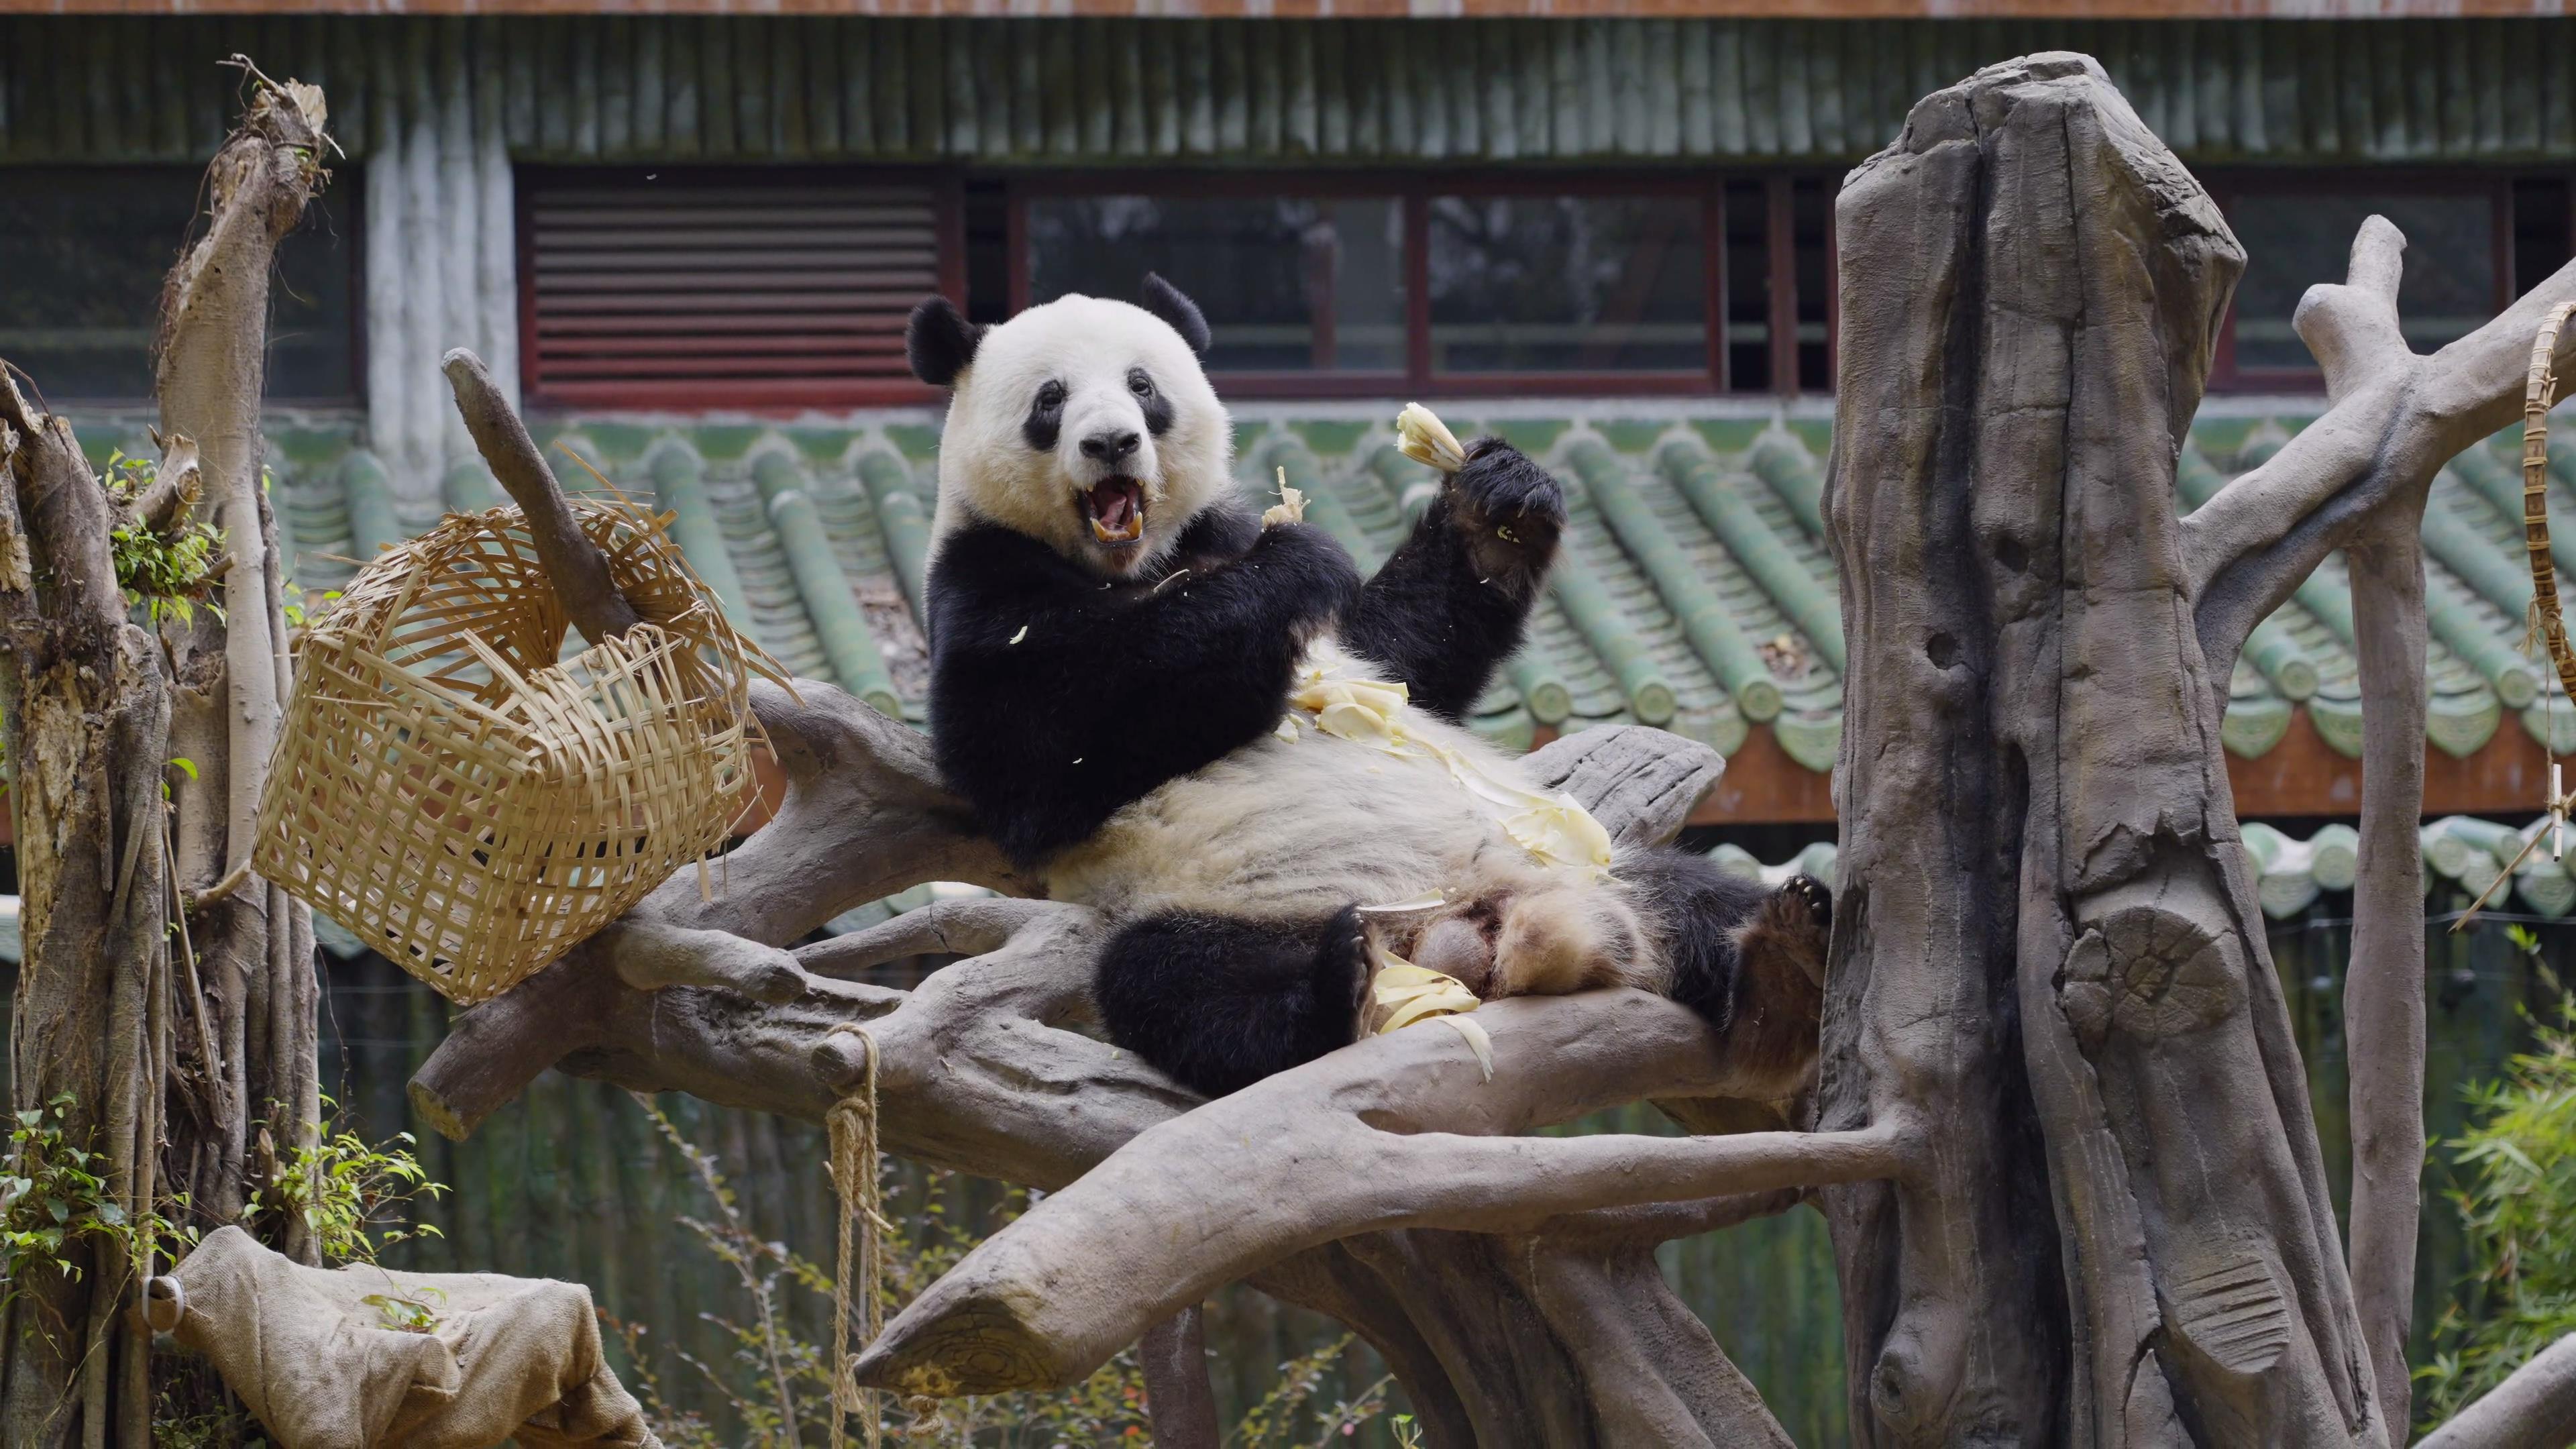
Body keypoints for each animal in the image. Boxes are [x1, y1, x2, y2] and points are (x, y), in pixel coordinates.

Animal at [907, 276, 1830, 1099]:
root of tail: (1466, 934)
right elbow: (1040, 752)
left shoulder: (1228, 544)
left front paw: (1498, 505)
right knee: (1175, 987)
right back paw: (1331, 985)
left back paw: (1782, 973)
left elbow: (1399, 658)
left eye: (1143, 387)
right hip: (1218, 905)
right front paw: (1292, 565)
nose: (1111, 444)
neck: (1133, 565)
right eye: (1051, 399)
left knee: (1699, 897)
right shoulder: (979, 590)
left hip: (1586, 867)